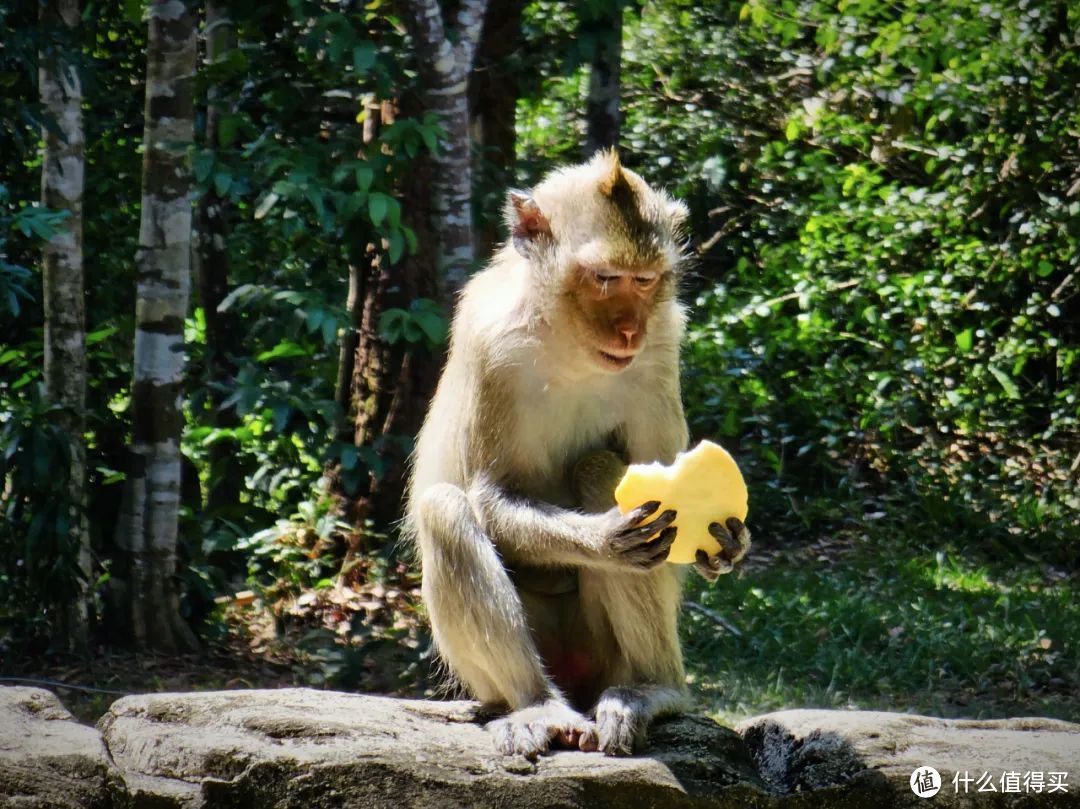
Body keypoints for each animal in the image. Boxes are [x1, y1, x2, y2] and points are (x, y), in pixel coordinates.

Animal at [406, 150, 751, 756]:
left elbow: (662, 480)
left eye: (644, 281)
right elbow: (489, 494)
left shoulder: (662, 346)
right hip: (499, 672)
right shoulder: (490, 347)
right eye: (605, 279)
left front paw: (726, 542)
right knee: (445, 510)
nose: (629, 329)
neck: (567, 338)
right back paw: (539, 704)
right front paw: (605, 540)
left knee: (597, 469)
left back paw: (654, 689)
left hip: (603, 653)